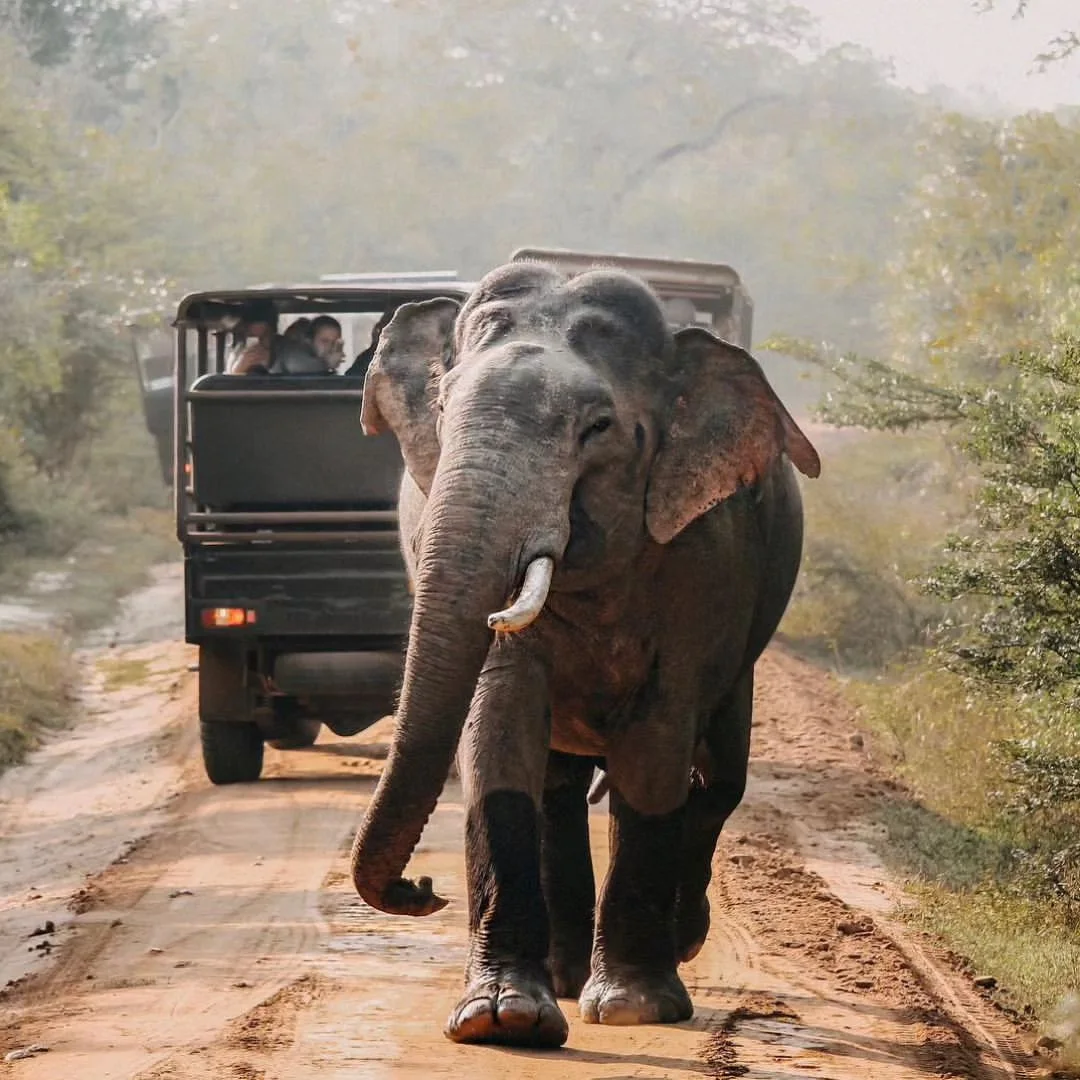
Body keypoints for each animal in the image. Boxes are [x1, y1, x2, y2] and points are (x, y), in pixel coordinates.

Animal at [349, 260, 820, 1048]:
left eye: (597, 429)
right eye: (444, 410)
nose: (421, 889)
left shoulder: (705, 561)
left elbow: (656, 751)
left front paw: (634, 1005)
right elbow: (500, 728)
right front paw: (502, 1017)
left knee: (720, 779)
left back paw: (678, 943)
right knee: (559, 788)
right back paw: (565, 978)